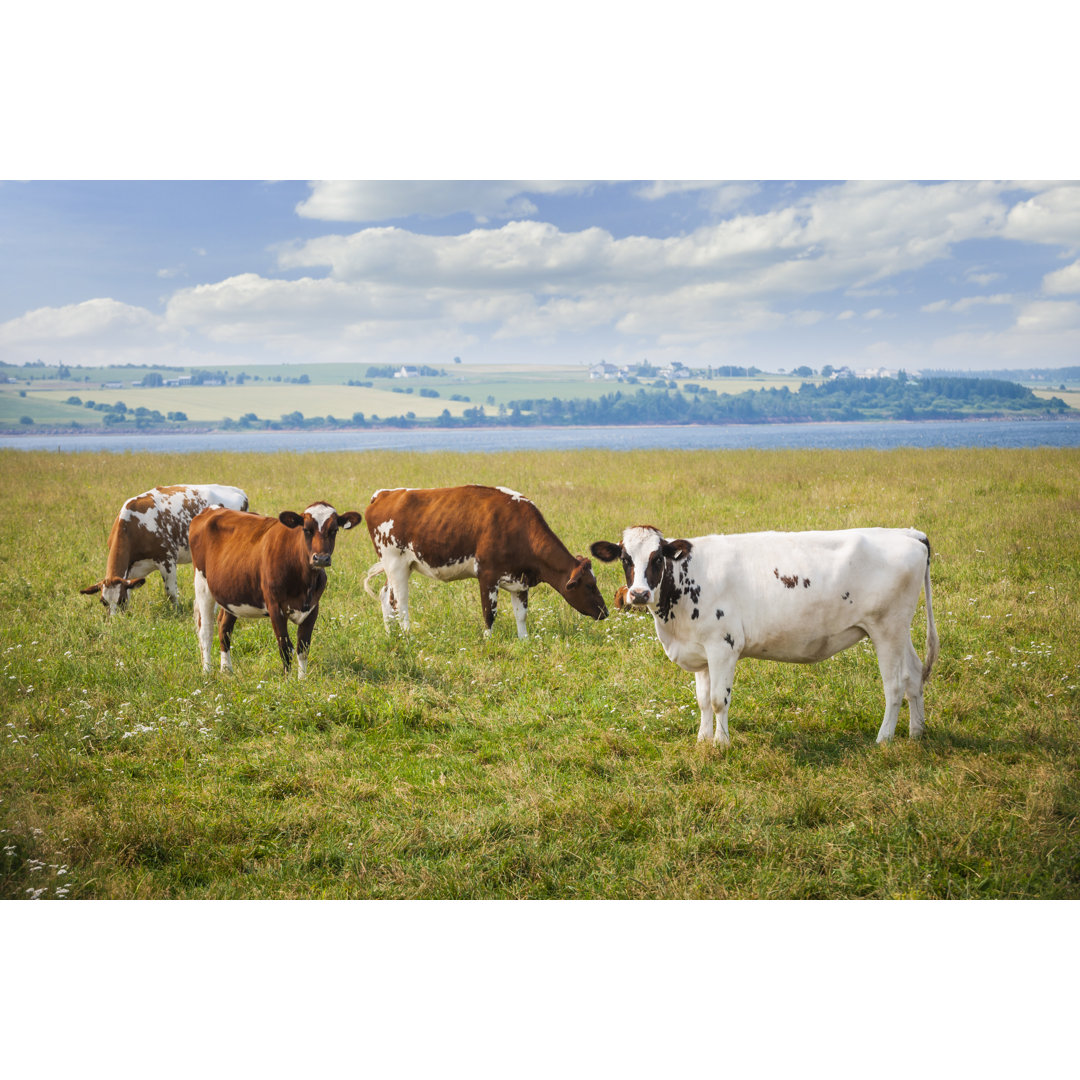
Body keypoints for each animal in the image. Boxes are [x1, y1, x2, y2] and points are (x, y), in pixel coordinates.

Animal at [80, 484, 249, 614]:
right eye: (103, 602)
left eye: (120, 600)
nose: (114, 621)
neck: (133, 526)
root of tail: (238, 491)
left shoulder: (167, 559)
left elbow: (171, 592)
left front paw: (177, 612)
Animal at [189, 501, 363, 677]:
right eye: (306, 529)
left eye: (334, 530)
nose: (320, 558)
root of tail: (212, 509)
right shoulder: (275, 606)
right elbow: (285, 647)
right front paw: (288, 680)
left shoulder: (313, 608)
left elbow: (303, 647)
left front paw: (302, 679)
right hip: (202, 584)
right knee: (206, 631)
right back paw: (207, 672)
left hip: (232, 592)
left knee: (224, 627)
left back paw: (226, 670)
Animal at [362, 484, 608, 638]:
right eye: (589, 585)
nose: (605, 612)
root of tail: (384, 494)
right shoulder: (488, 575)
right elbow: (489, 613)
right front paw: (488, 639)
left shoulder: (520, 581)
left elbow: (521, 614)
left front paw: (525, 640)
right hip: (395, 563)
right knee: (400, 602)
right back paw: (408, 636)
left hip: (401, 566)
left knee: (386, 596)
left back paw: (391, 634)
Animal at [591, 525, 939, 746]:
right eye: (625, 558)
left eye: (657, 557)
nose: (638, 594)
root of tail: (908, 533)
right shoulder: (700, 650)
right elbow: (702, 700)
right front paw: (702, 740)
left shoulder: (723, 646)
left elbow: (718, 700)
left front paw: (721, 744)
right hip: (899, 629)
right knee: (914, 674)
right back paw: (916, 732)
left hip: (886, 629)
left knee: (894, 684)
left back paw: (884, 739)